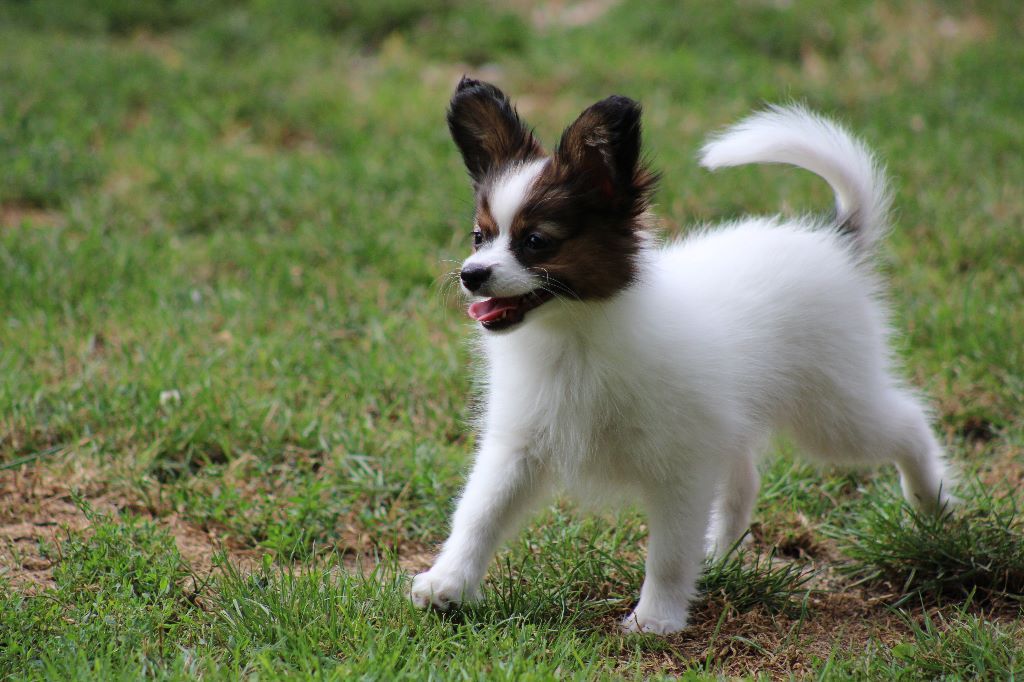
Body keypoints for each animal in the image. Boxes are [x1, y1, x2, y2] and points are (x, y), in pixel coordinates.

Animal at [411, 78, 954, 630]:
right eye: (480, 236)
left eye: (536, 241)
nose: (471, 274)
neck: (573, 338)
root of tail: (835, 243)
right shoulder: (518, 445)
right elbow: (479, 513)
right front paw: (448, 584)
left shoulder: (680, 467)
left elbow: (670, 553)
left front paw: (656, 621)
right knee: (744, 480)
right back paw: (719, 556)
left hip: (831, 412)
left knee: (908, 423)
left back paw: (932, 507)